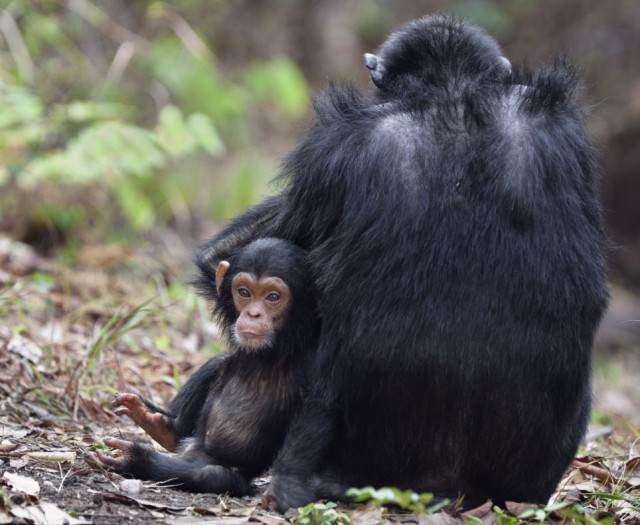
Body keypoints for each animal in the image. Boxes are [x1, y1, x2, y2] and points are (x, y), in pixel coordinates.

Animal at [89, 238, 318, 496]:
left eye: (273, 297)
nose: (253, 314)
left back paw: (136, 458)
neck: (270, 353)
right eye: (244, 292)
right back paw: (158, 424)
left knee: (210, 474)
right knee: (217, 364)